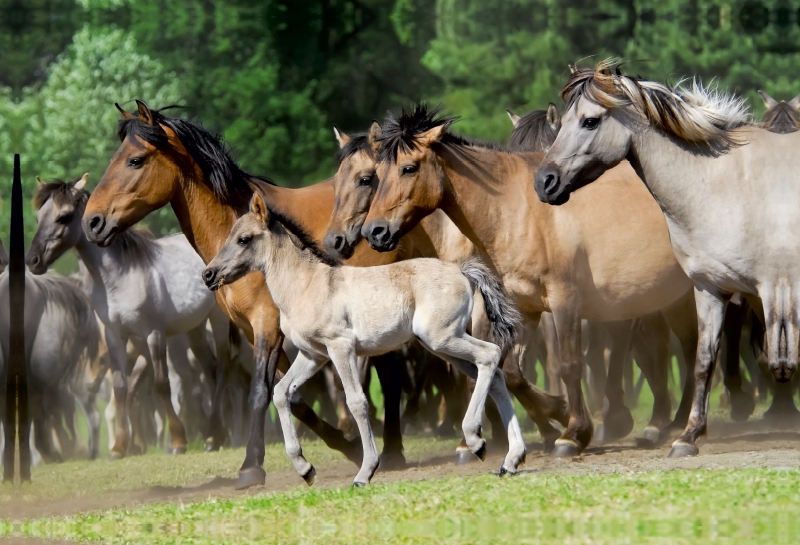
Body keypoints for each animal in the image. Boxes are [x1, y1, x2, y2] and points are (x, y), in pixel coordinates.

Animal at [25, 176, 231, 456]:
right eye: (39, 217)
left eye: (63, 217)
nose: (32, 260)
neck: (119, 278)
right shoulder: (115, 337)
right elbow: (121, 388)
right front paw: (119, 447)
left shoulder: (153, 334)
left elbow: (161, 384)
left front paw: (177, 442)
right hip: (195, 328)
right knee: (210, 370)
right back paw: (215, 436)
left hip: (217, 321)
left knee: (221, 368)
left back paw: (213, 437)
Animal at [536, 61, 800, 456]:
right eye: (563, 121)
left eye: (590, 121)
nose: (544, 182)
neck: (721, 185)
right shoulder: (710, 288)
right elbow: (704, 360)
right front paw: (688, 436)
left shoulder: (770, 287)